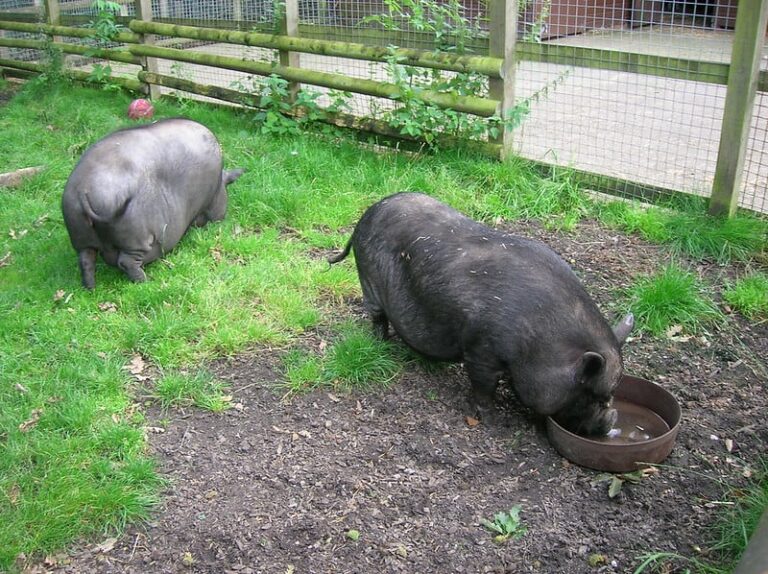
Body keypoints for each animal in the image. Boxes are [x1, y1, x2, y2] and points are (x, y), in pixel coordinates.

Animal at [61, 118, 244, 289]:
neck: (220, 181)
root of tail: (83, 190)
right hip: (136, 235)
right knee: (126, 262)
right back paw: (147, 282)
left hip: (79, 233)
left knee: (86, 260)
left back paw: (90, 288)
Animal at [329, 192, 634, 436]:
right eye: (595, 395)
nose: (612, 421)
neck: (541, 342)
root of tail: (368, 213)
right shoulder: (481, 349)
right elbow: (484, 387)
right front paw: (491, 420)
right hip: (368, 278)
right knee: (377, 316)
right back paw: (381, 343)